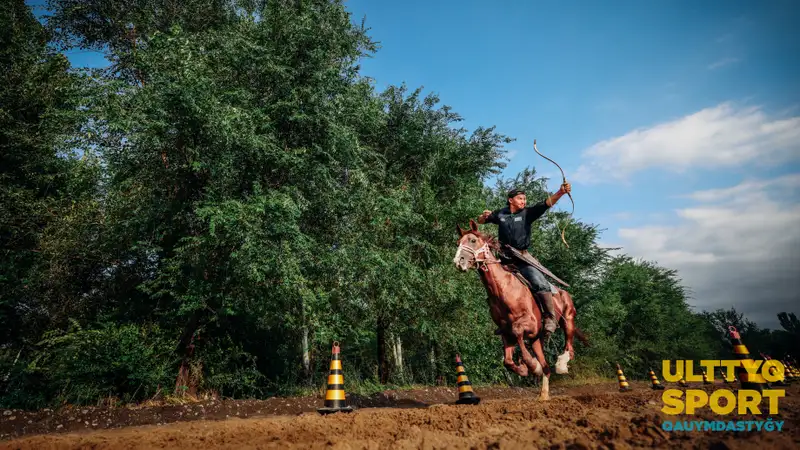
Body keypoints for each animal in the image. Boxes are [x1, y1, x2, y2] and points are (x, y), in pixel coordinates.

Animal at [456, 220, 588, 400]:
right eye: (458, 242)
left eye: (473, 240)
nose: (458, 261)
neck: (504, 289)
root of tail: (563, 292)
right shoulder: (506, 332)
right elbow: (507, 361)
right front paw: (523, 369)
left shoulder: (529, 325)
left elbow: (518, 331)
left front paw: (531, 365)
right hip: (537, 340)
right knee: (546, 367)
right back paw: (543, 395)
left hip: (567, 320)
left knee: (569, 346)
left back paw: (561, 363)